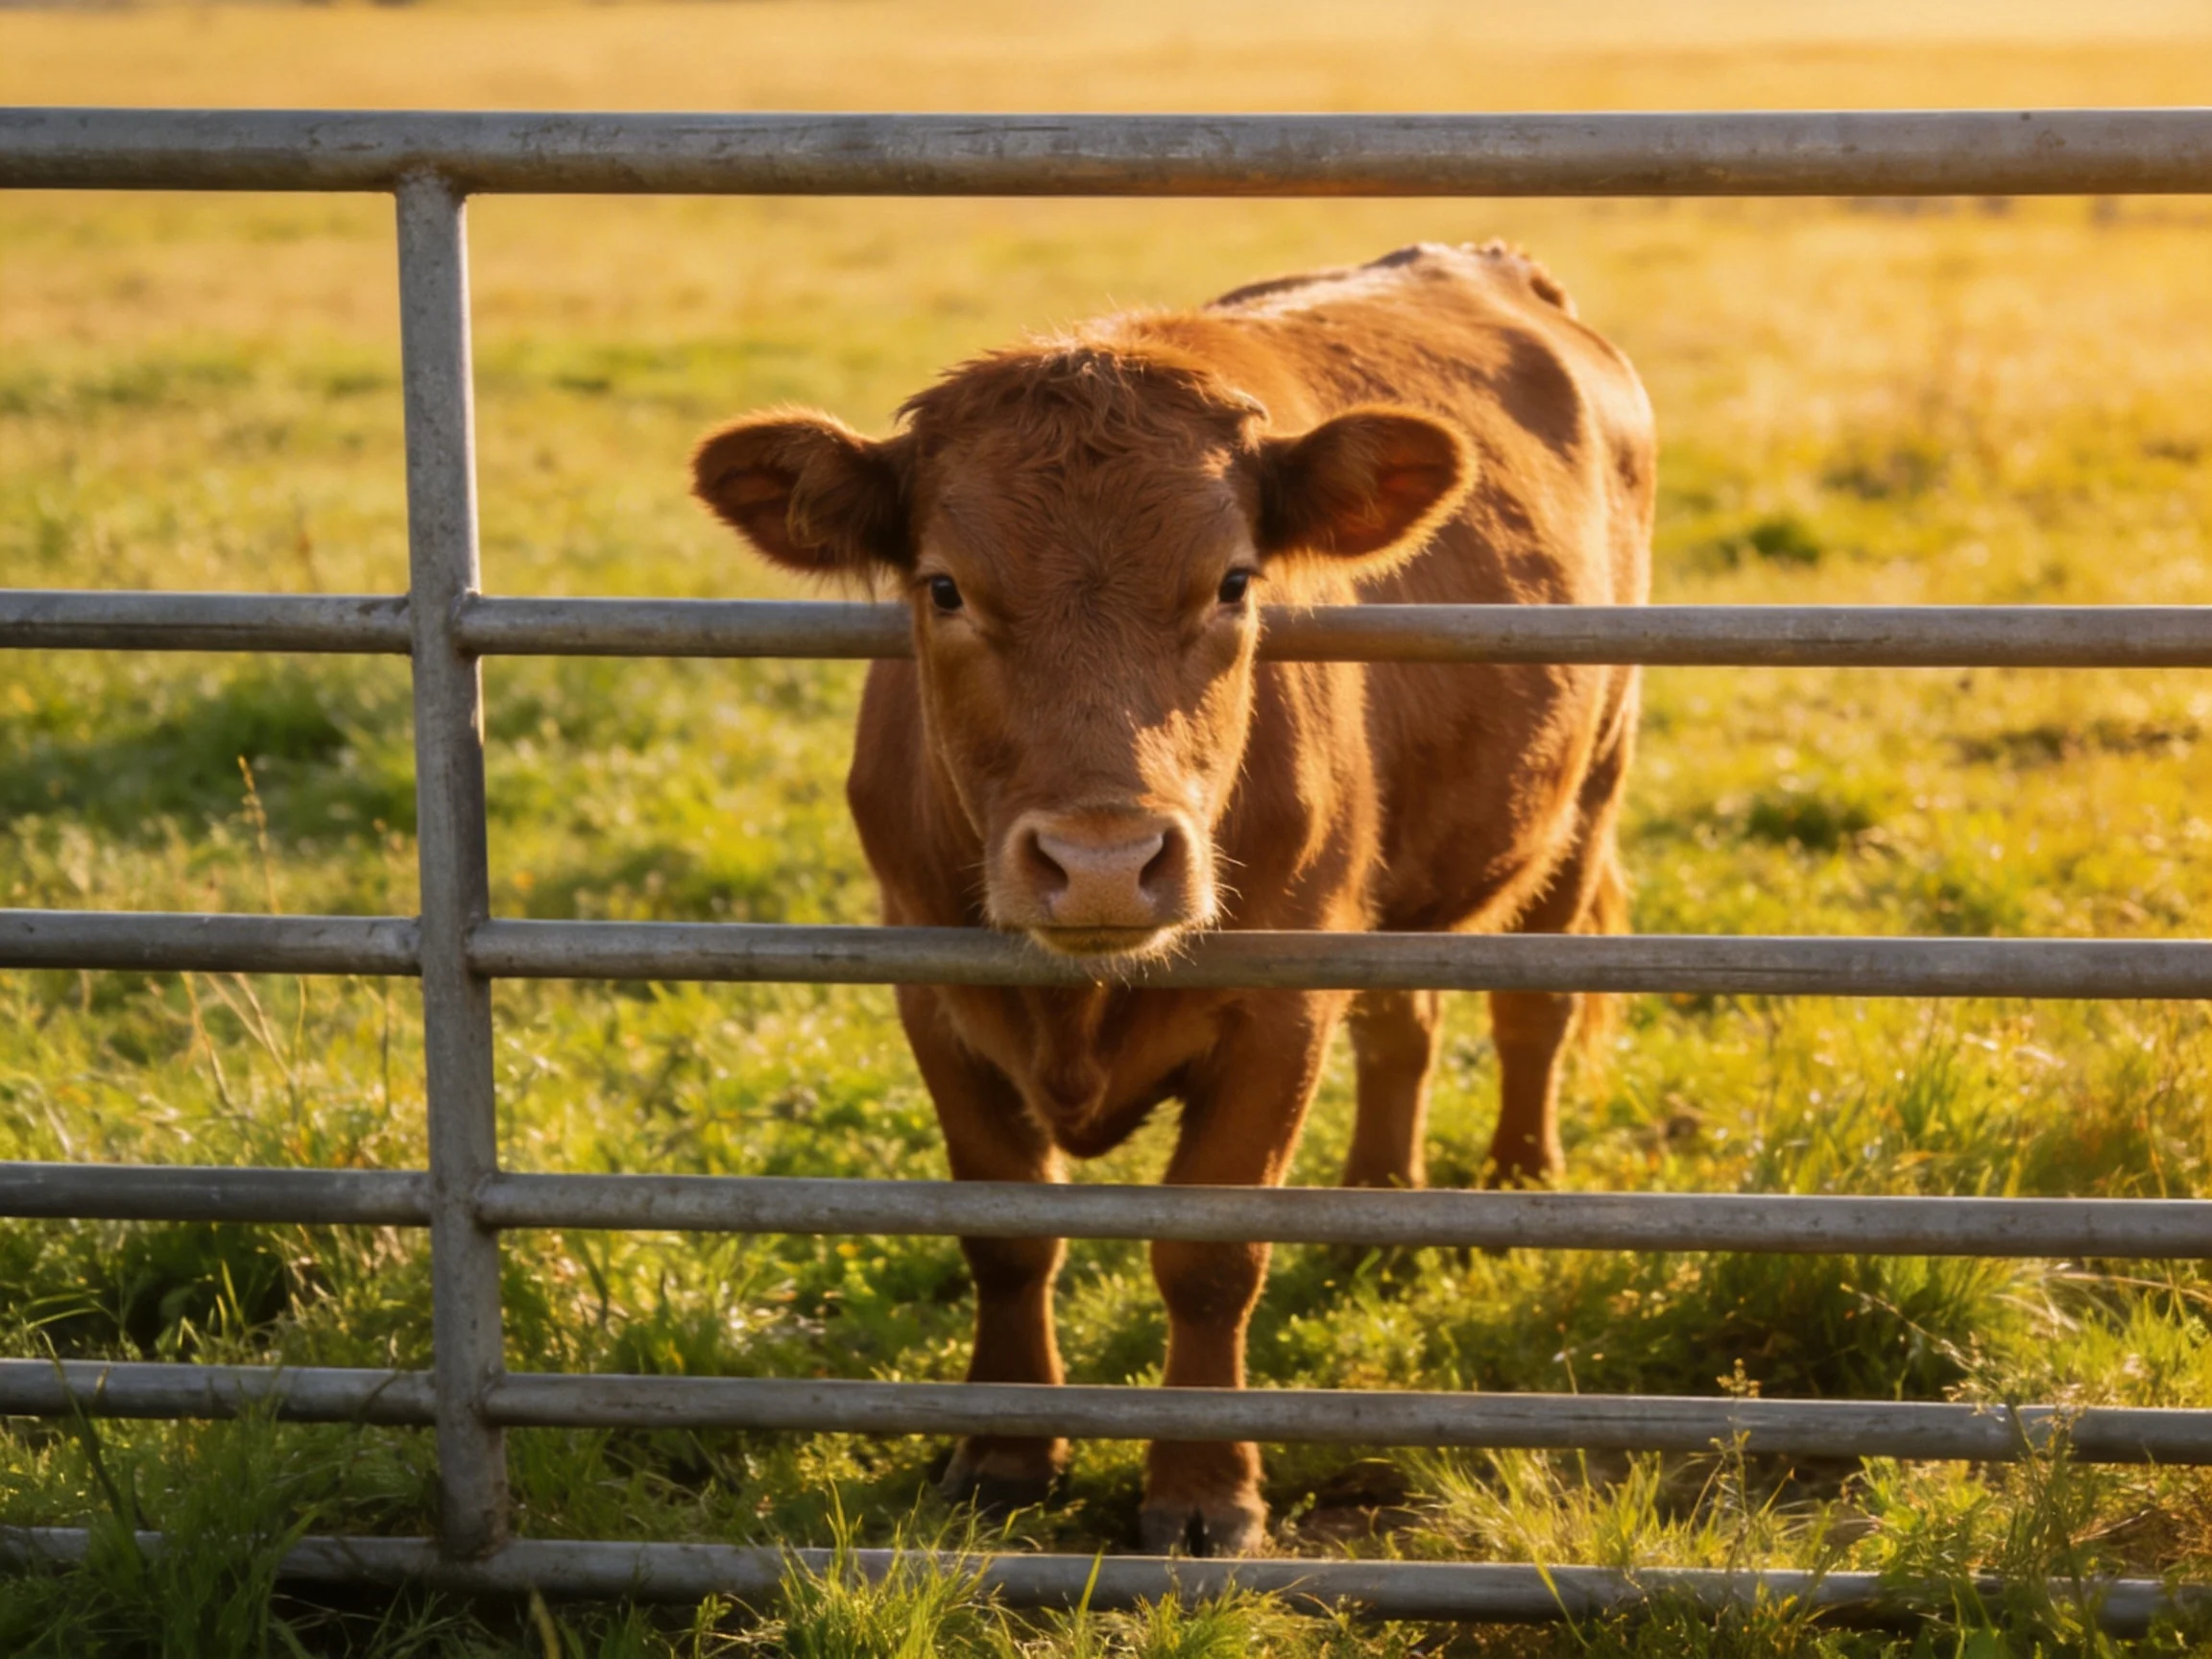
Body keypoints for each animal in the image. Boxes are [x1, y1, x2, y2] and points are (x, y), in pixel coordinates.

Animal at [690, 241, 1654, 1555]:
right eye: (944, 588)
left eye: (1234, 582)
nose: (1103, 860)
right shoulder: (931, 990)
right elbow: (1006, 1236)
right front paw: (1002, 1450)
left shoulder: (1278, 1007)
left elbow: (1209, 1255)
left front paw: (1204, 1490)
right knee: (1402, 1025)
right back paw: (1375, 1202)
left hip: (1585, 793)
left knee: (1530, 1014)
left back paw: (1516, 1186)